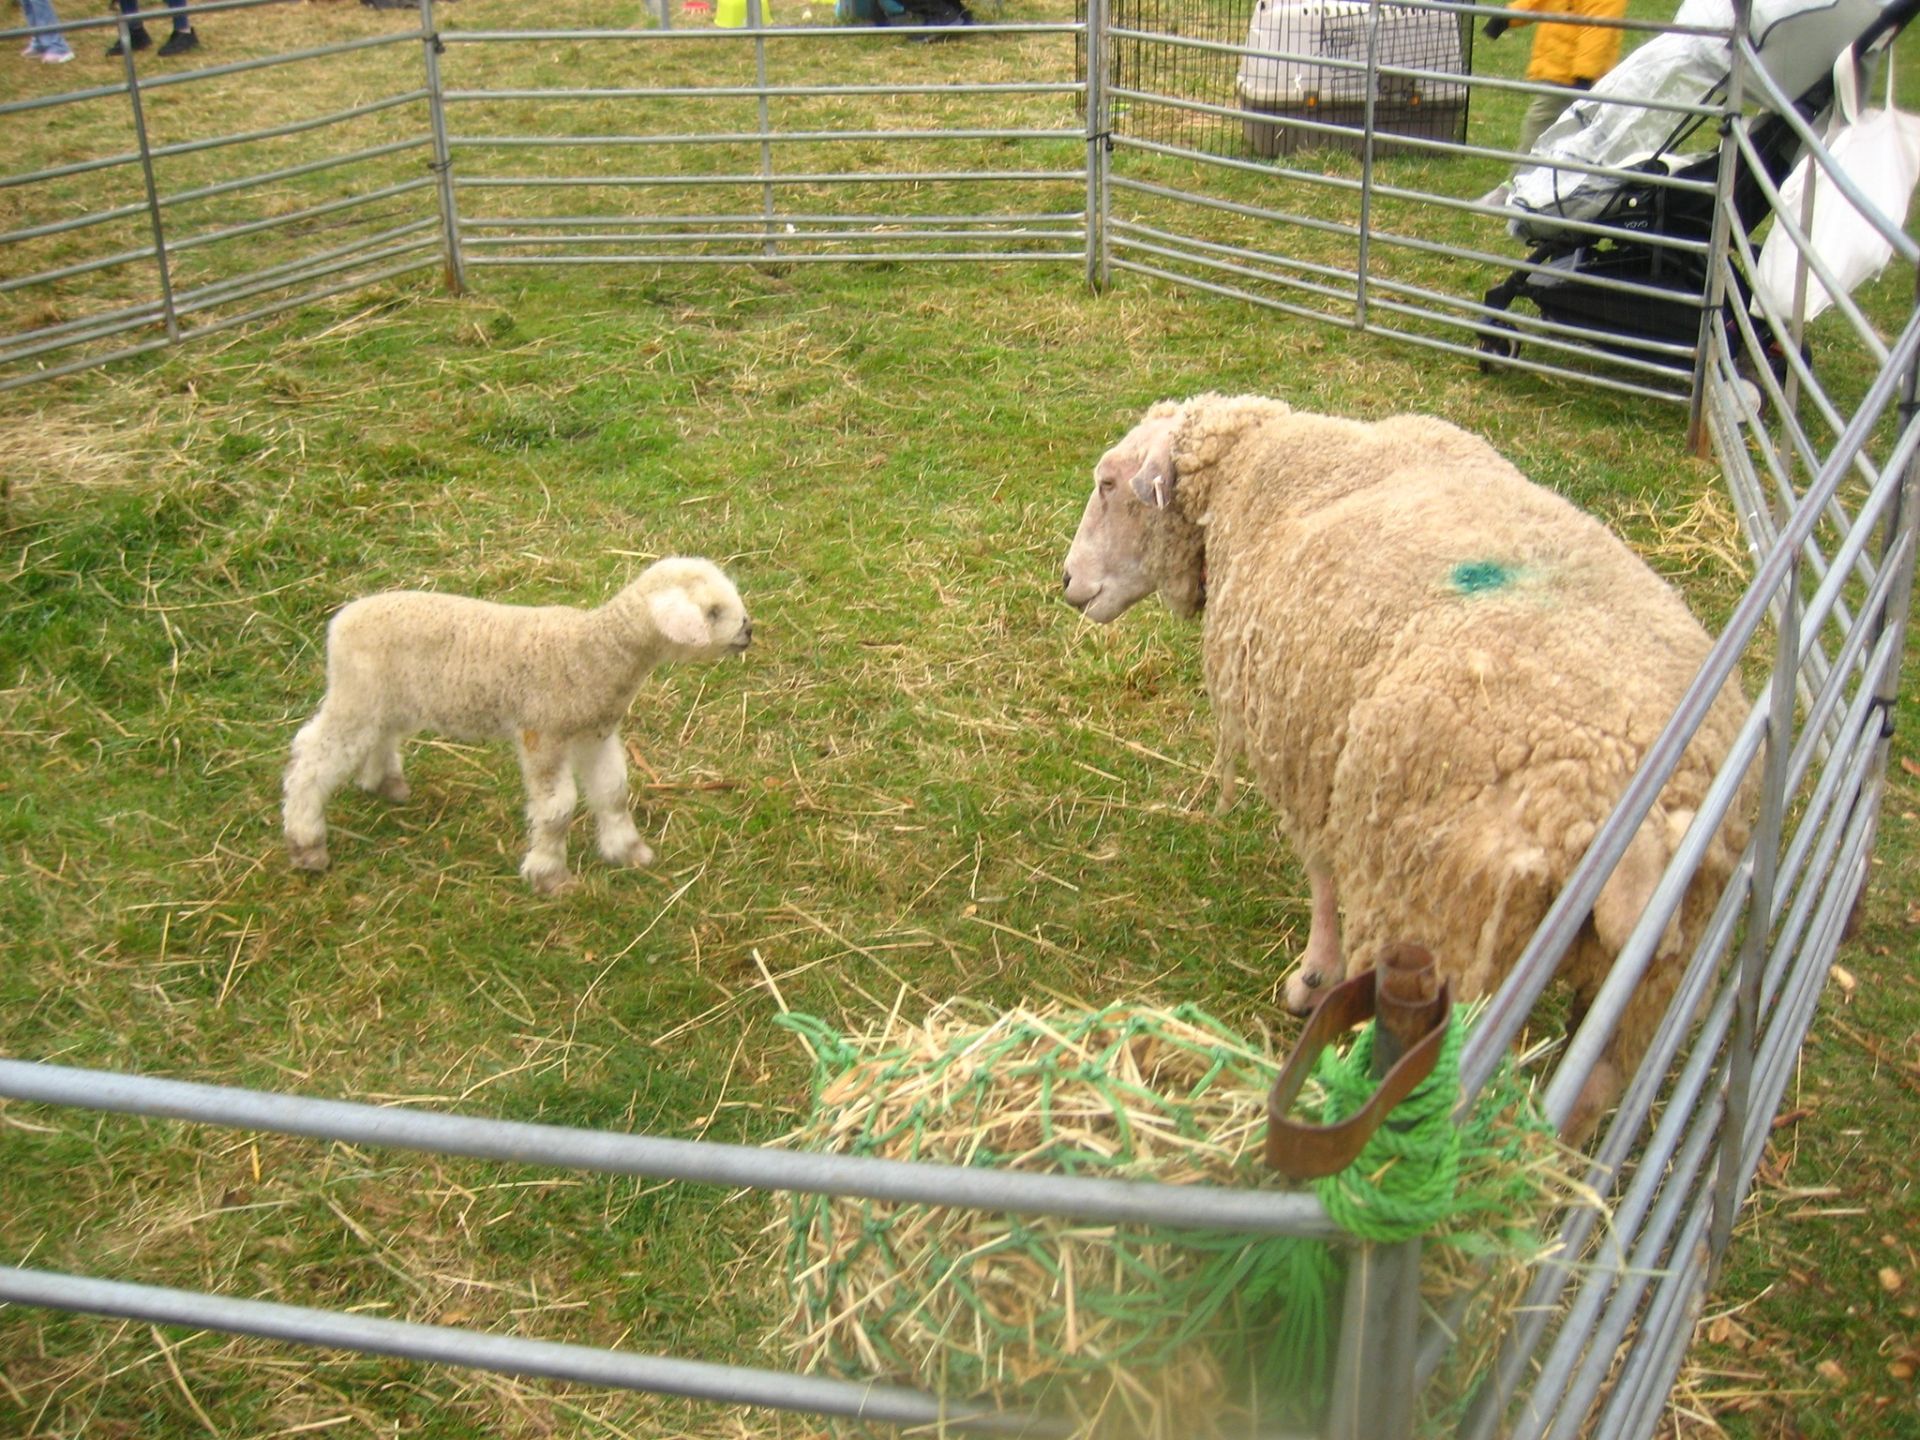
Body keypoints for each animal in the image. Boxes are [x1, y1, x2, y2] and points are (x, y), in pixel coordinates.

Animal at [282, 556, 751, 893]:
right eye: (713, 611)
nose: (749, 630)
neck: (594, 652)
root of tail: (341, 620)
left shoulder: (594, 733)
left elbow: (614, 792)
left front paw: (628, 851)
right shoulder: (543, 732)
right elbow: (557, 809)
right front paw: (550, 876)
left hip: (386, 698)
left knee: (378, 737)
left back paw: (384, 782)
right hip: (357, 694)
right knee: (312, 757)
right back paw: (306, 842)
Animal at [1060, 394, 1751, 1141]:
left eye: (1108, 484)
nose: (1066, 581)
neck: (1260, 463)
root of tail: (1625, 811)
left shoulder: (1312, 752)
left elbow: (1323, 875)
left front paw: (1313, 978)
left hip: (1430, 913)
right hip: (1649, 978)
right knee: (1593, 1089)